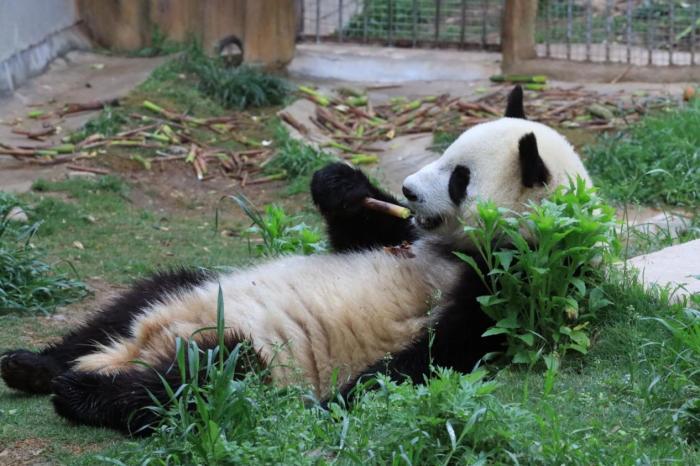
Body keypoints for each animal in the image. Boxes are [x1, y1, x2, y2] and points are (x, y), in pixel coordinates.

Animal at [0, 85, 592, 436]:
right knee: (128, 306)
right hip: (186, 291)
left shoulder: (518, 282)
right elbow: (360, 233)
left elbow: (442, 350)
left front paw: (338, 404)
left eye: (459, 178)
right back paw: (33, 365)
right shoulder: (404, 237)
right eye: (446, 154)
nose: (407, 189)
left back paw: (82, 393)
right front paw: (340, 184)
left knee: (203, 380)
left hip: (248, 356)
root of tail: (134, 352)